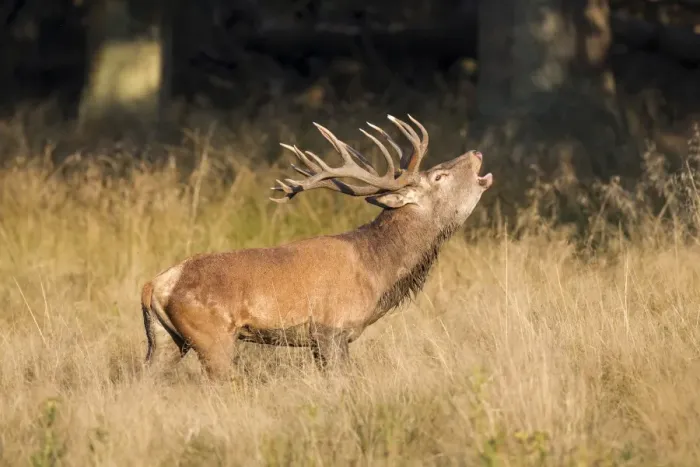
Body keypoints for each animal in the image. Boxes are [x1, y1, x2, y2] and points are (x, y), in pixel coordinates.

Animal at [140, 115, 493, 379]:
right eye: (439, 176)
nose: (476, 153)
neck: (376, 270)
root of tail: (155, 285)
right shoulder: (330, 329)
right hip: (212, 337)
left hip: (165, 339)